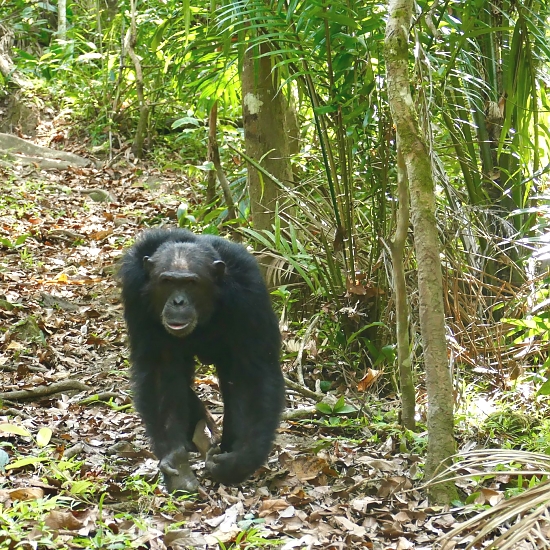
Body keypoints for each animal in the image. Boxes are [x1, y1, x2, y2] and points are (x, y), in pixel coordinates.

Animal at [119, 226, 286, 494]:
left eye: (190, 283)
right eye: (167, 282)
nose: (178, 301)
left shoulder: (249, 290)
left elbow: (253, 373)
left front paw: (239, 460)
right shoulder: (134, 287)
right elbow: (160, 368)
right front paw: (174, 457)